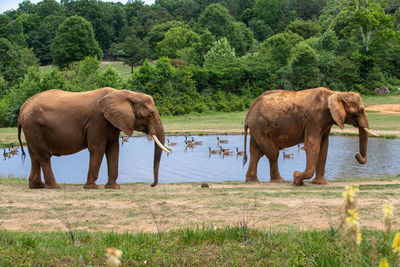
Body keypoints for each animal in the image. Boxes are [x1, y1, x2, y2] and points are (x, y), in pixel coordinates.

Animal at [17, 87, 171, 189]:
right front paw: (91, 187)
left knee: (33, 155)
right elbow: (98, 148)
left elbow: (113, 149)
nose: (151, 185)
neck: (126, 94)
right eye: (150, 113)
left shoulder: (111, 122)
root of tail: (23, 107)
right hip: (35, 126)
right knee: (43, 156)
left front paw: (113, 187)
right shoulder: (98, 120)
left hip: (30, 129)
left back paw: (37, 186)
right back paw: (54, 186)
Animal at [242, 88, 380, 186]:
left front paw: (319, 183)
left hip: (257, 129)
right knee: (273, 153)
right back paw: (278, 181)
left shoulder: (326, 121)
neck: (336, 94)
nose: (357, 155)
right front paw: (297, 179)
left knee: (256, 153)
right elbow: (312, 144)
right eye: (358, 112)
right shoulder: (315, 118)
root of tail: (249, 113)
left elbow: (324, 146)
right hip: (261, 127)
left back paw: (252, 181)